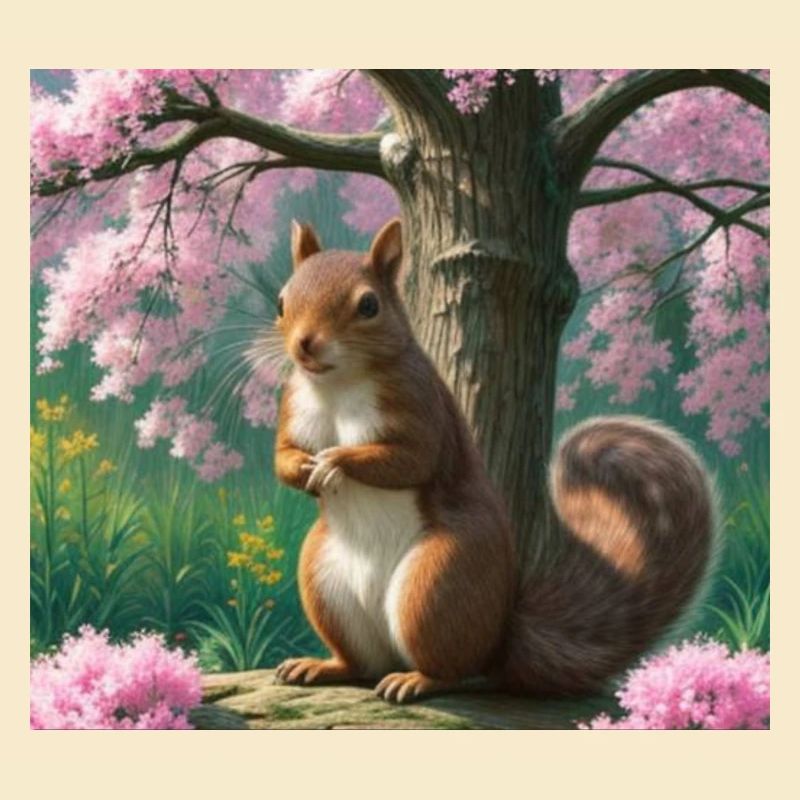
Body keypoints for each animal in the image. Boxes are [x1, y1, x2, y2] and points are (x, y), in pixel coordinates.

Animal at [272, 217, 716, 704]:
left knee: (455, 667)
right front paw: (304, 468)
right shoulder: (295, 405)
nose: (305, 345)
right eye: (282, 301)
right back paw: (322, 666)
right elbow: (281, 456)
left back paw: (418, 679)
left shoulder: (421, 405)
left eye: (368, 305)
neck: (338, 385)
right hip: (324, 582)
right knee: (361, 663)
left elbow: (411, 459)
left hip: (440, 584)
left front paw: (338, 461)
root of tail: (500, 634)